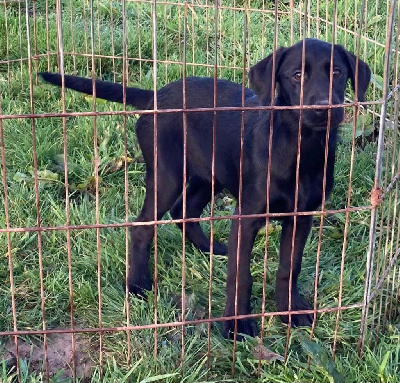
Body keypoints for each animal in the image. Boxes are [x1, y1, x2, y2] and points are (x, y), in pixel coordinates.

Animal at [42, 39, 370, 340]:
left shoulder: (301, 217)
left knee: (183, 210)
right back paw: (137, 285)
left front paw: (290, 310)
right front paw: (237, 325)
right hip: (167, 174)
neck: (301, 145)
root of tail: (156, 96)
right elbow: (241, 276)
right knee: (143, 226)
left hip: (209, 175)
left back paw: (211, 247)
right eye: (297, 75)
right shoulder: (247, 217)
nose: (324, 109)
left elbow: (290, 267)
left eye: (337, 72)